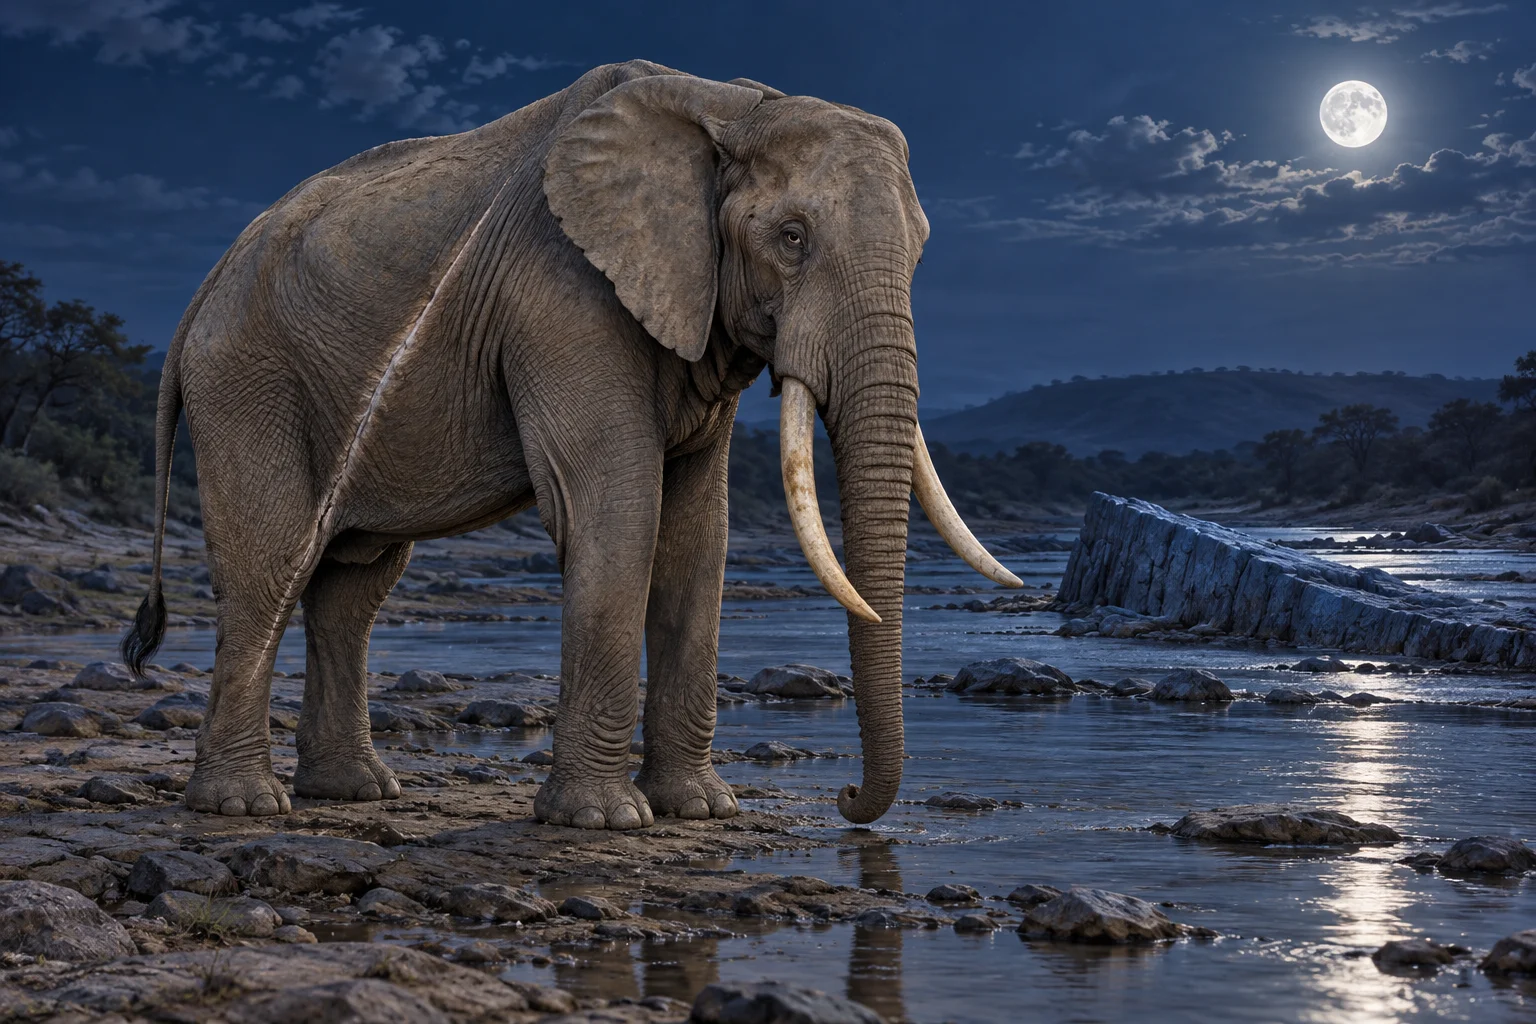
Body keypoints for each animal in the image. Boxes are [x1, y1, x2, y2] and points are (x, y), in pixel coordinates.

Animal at [121, 59, 1019, 829]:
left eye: (921, 249)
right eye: (792, 237)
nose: (846, 798)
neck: (731, 104)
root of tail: (205, 288)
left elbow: (697, 535)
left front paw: (699, 811)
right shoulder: (560, 295)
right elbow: (616, 511)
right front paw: (605, 822)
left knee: (353, 586)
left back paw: (355, 792)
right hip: (249, 377)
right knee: (272, 564)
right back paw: (242, 806)